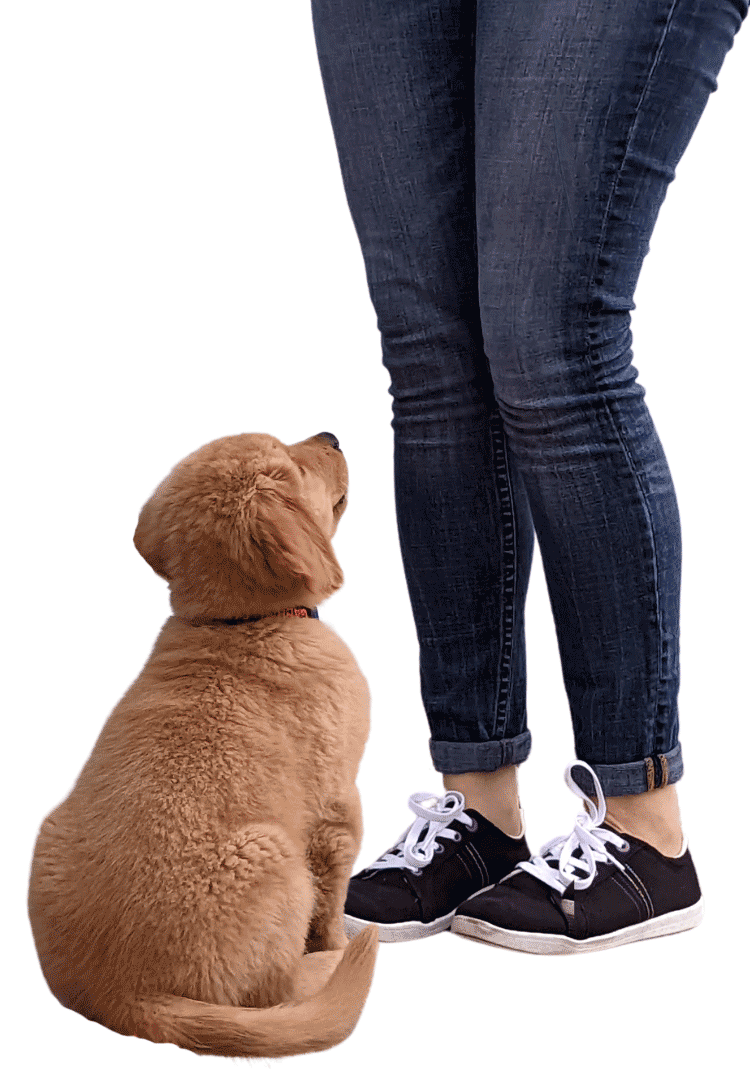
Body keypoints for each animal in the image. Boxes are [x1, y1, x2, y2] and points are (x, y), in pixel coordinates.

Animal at [27, 429, 382, 1056]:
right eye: (293, 465)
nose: (332, 436)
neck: (240, 622)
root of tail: (127, 997)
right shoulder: (338, 807)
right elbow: (333, 899)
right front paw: (337, 943)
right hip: (273, 856)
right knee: (276, 991)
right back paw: (327, 970)